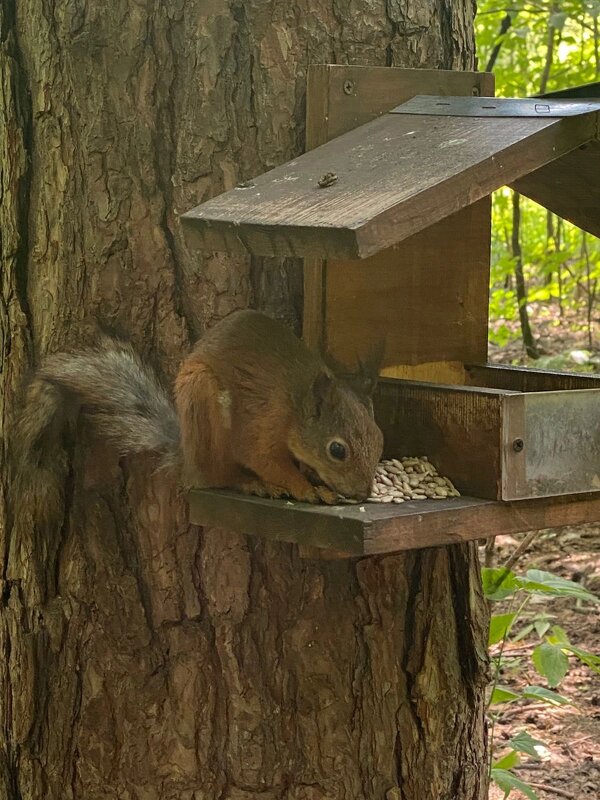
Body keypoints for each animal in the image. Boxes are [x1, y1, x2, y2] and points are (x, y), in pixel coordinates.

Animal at [12, 310, 384, 520]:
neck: (295, 407)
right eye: (337, 450)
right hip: (204, 404)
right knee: (218, 475)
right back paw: (252, 483)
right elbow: (263, 458)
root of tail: (187, 454)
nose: (363, 493)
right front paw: (305, 489)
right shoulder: (264, 424)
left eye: (380, 441)